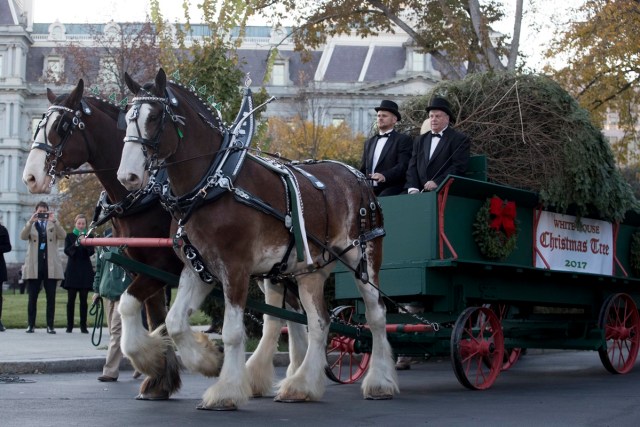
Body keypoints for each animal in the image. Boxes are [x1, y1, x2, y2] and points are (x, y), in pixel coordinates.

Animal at [22, 79, 308, 398]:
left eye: (62, 125)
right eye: (38, 124)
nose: (30, 177)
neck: (147, 195)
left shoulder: (164, 266)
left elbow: (135, 309)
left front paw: (170, 365)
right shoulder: (144, 267)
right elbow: (155, 317)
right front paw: (160, 376)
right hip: (273, 268)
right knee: (293, 313)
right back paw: (292, 374)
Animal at [115, 68, 396, 412]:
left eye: (154, 116)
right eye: (127, 118)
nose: (127, 176)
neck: (214, 183)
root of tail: (358, 176)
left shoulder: (236, 268)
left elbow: (233, 332)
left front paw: (226, 390)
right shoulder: (199, 268)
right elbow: (175, 321)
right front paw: (207, 361)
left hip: (363, 258)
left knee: (375, 315)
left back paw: (378, 382)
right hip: (308, 270)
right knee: (318, 322)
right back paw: (301, 384)